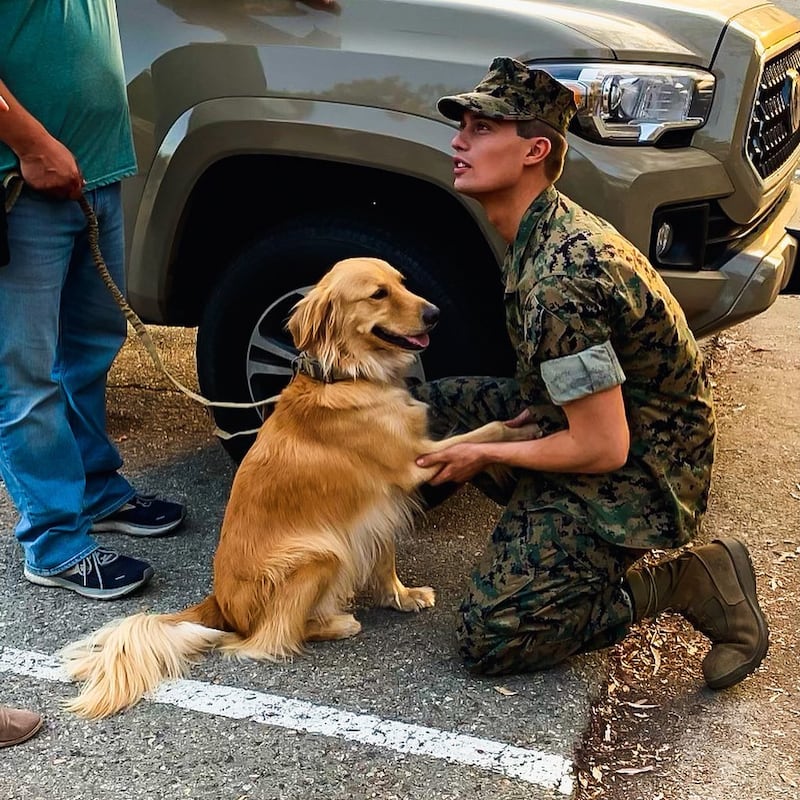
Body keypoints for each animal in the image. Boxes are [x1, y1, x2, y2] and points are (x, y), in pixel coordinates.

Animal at [62, 258, 536, 720]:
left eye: (402, 282)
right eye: (378, 294)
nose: (435, 314)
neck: (345, 376)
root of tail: (220, 603)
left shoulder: (382, 504)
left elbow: (386, 559)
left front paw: (401, 596)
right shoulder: (415, 463)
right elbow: (484, 433)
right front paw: (525, 430)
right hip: (320, 554)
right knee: (267, 638)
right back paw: (336, 623)